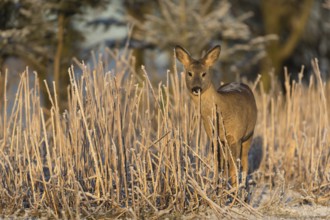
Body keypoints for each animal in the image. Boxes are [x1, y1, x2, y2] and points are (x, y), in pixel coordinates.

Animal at [175, 44, 258, 187]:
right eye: (189, 73)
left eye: (204, 73)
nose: (196, 88)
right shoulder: (213, 136)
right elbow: (217, 165)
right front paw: (218, 185)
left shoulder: (236, 137)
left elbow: (233, 167)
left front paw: (234, 189)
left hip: (249, 135)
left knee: (244, 162)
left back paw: (243, 185)